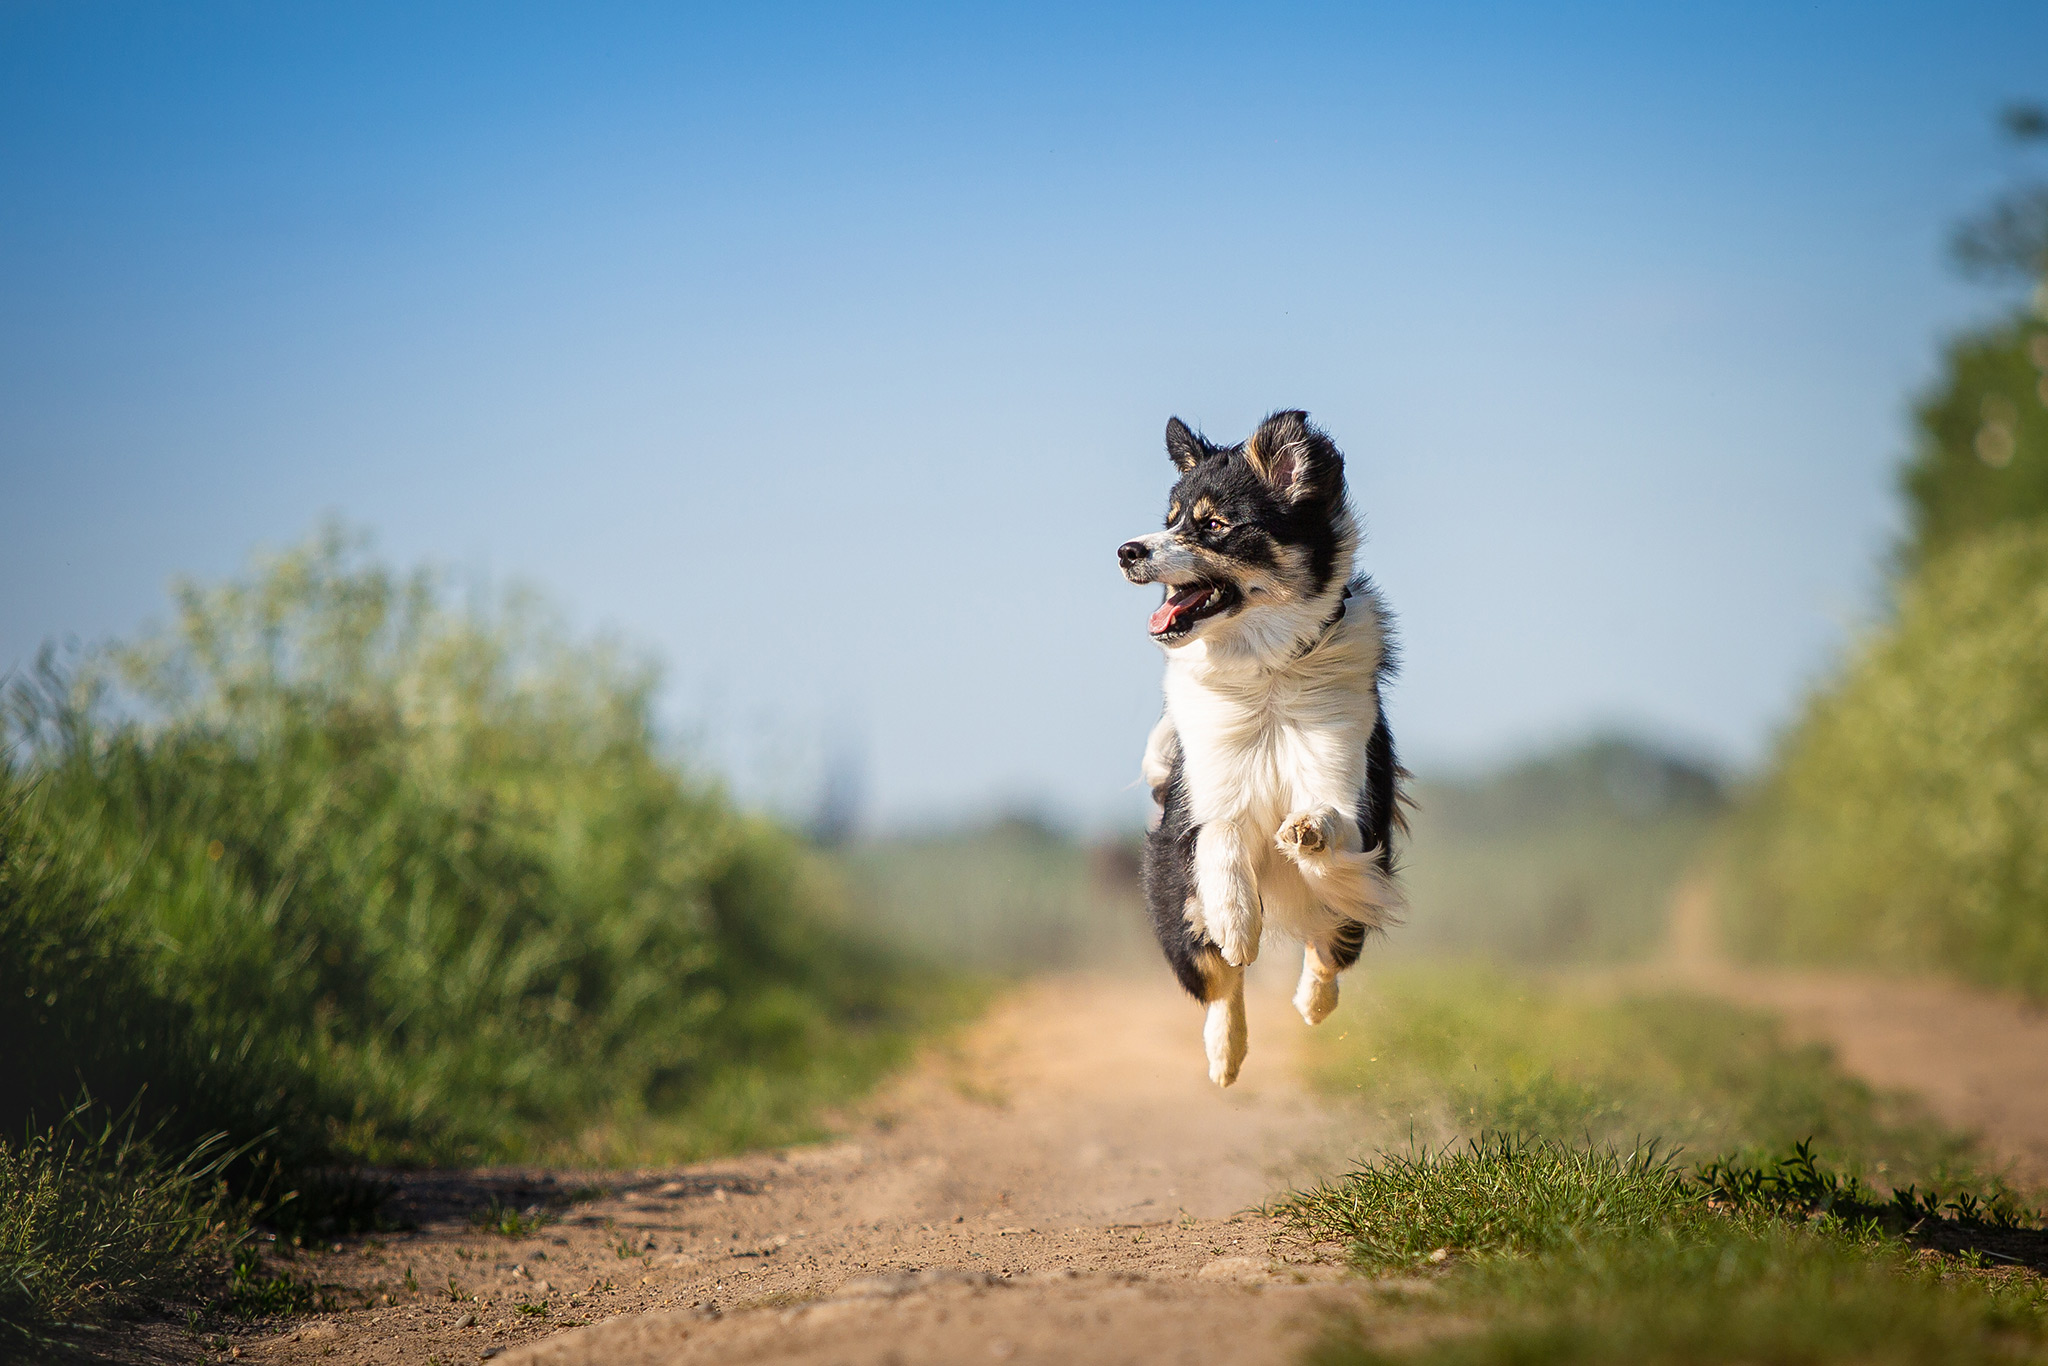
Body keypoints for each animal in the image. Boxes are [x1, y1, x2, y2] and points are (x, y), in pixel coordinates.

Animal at [1122, 411, 1409, 1081]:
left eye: (1214, 525)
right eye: (1170, 517)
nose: (1126, 551)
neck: (1267, 666)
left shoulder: (1352, 791)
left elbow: (1329, 823)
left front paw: (1306, 830)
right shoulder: (1205, 793)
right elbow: (1222, 839)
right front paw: (1236, 923)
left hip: (1364, 879)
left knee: (1332, 940)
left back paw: (1312, 1003)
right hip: (1170, 897)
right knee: (1219, 983)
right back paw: (1225, 1057)